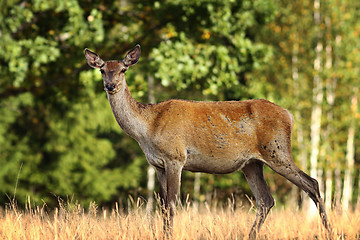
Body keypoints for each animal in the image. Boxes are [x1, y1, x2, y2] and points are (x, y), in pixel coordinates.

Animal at [84, 44, 332, 238]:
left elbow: (172, 204)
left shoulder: (176, 157)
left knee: (312, 183)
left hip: (277, 150)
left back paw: (329, 231)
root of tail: (290, 115)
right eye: (103, 70)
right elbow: (162, 206)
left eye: (123, 69)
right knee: (266, 200)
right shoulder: (157, 164)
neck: (147, 129)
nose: (110, 86)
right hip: (252, 163)